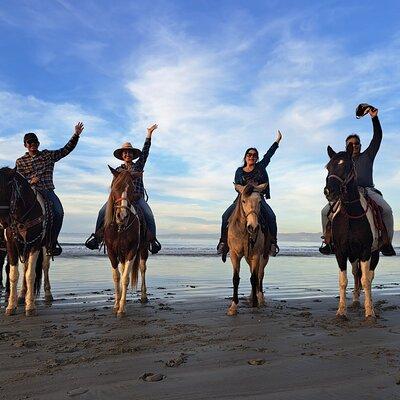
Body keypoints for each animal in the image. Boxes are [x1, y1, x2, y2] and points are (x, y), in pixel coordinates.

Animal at [0, 166, 54, 316]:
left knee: (44, 266)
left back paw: (48, 294)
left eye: (8, 188)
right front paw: (11, 306)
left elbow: (31, 274)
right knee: (25, 268)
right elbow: (13, 274)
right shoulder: (11, 245)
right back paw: (21, 296)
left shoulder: (35, 244)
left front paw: (30, 307)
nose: (3, 222)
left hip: (45, 246)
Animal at [104, 167, 150, 318]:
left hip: (143, 249)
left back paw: (143, 296)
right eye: (115, 187)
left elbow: (125, 278)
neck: (120, 228)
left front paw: (121, 308)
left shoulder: (132, 251)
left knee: (142, 268)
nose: (122, 216)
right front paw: (116, 304)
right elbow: (117, 276)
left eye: (132, 190)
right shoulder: (112, 252)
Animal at [227, 183, 270, 318]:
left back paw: (260, 297)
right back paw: (252, 295)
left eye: (260, 201)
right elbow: (236, 279)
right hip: (247, 258)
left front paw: (255, 304)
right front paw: (233, 307)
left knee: (260, 275)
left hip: (264, 257)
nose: (253, 227)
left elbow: (254, 278)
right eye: (243, 201)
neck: (244, 232)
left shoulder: (256, 255)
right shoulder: (234, 255)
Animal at [324, 145, 380, 320]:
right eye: (328, 167)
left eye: (346, 165)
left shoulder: (365, 251)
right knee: (356, 274)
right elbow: (344, 280)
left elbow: (366, 280)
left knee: (368, 276)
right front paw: (341, 311)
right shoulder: (341, 252)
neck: (350, 213)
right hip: (353, 255)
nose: (328, 191)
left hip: (373, 253)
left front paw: (369, 312)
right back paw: (355, 301)